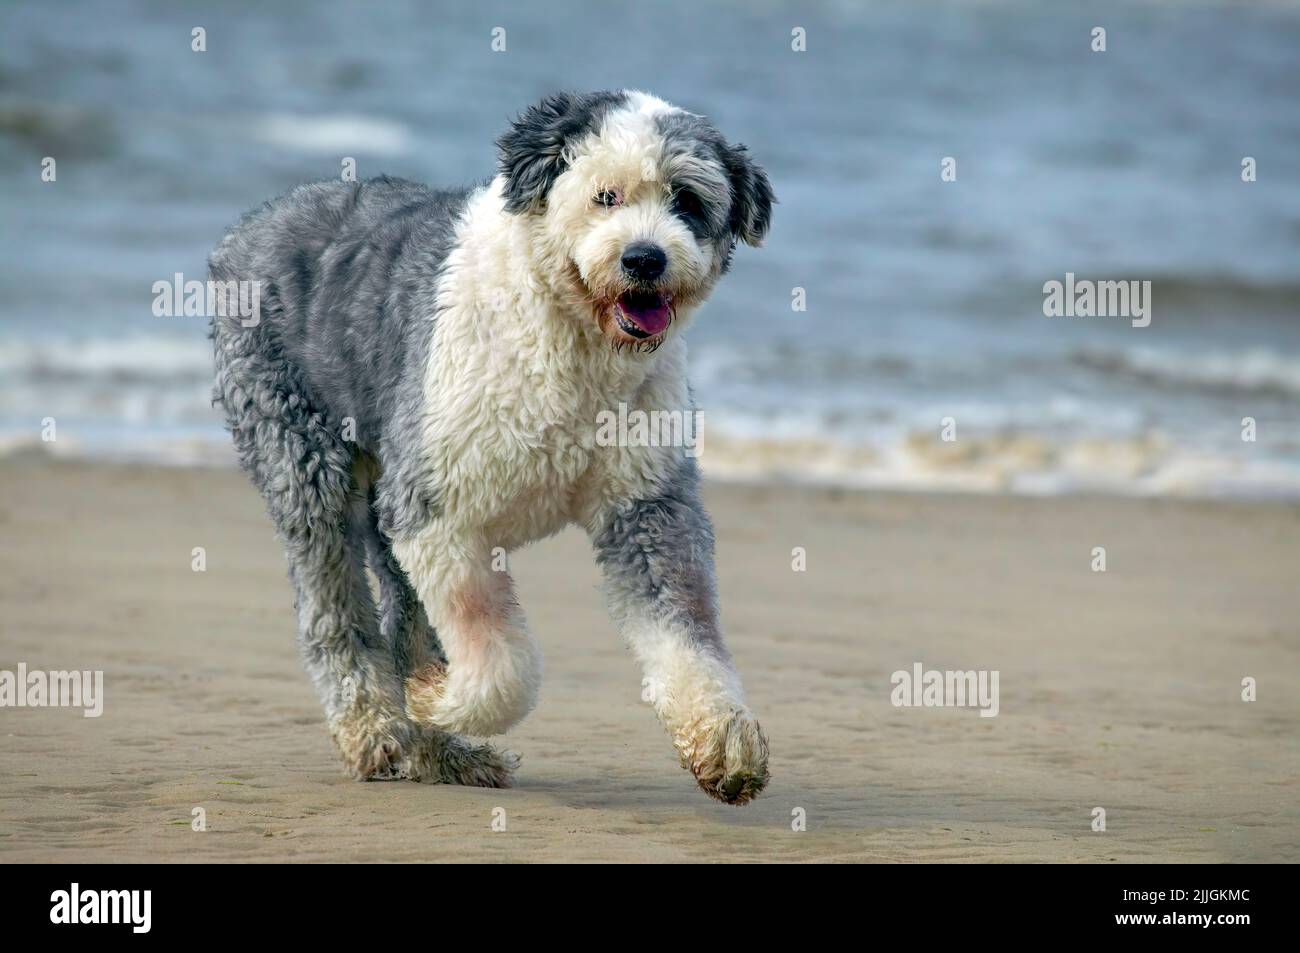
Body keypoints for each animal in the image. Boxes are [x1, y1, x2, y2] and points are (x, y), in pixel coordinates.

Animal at [206, 89, 764, 800]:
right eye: (605, 196)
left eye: (686, 199)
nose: (645, 259)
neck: (569, 341)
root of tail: (258, 219)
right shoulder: (436, 511)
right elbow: (501, 664)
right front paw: (433, 697)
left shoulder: (646, 509)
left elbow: (685, 629)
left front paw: (723, 741)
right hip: (303, 453)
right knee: (333, 604)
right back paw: (378, 730)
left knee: (404, 617)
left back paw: (444, 755)